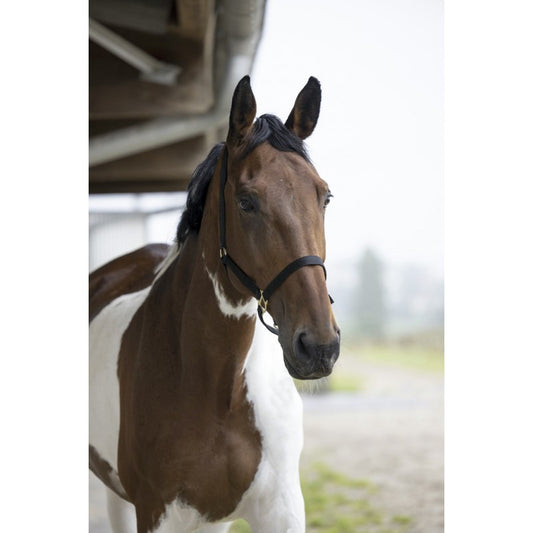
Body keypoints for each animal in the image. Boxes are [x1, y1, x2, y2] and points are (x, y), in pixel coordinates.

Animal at [90, 76, 340, 532]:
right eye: (246, 201)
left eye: (324, 196)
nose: (318, 347)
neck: (217, 388)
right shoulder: (154, 511)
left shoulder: (280, 509)